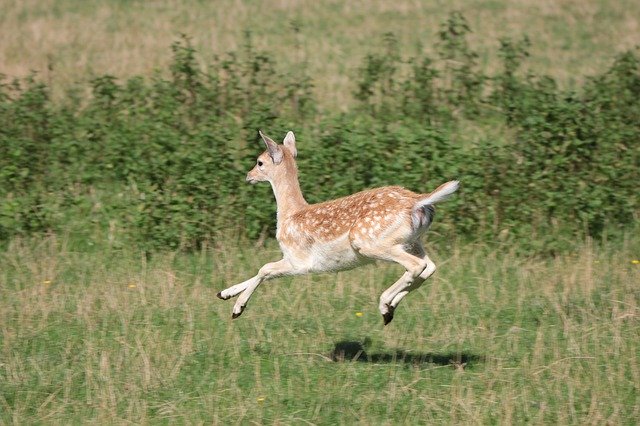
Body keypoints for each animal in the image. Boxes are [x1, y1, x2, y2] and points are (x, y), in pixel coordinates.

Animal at [218, 131, 458, 324]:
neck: (291, 214)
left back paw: (384, 305)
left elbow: (264, 269)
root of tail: (417, 201)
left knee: (416, 266)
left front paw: (237, 308)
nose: (248, 176)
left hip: (369, 241)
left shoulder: (301, 261)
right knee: (429, 267)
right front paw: (224, 293)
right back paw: (390, 309)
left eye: (259, 162)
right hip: (412, 241)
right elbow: (262, 271)